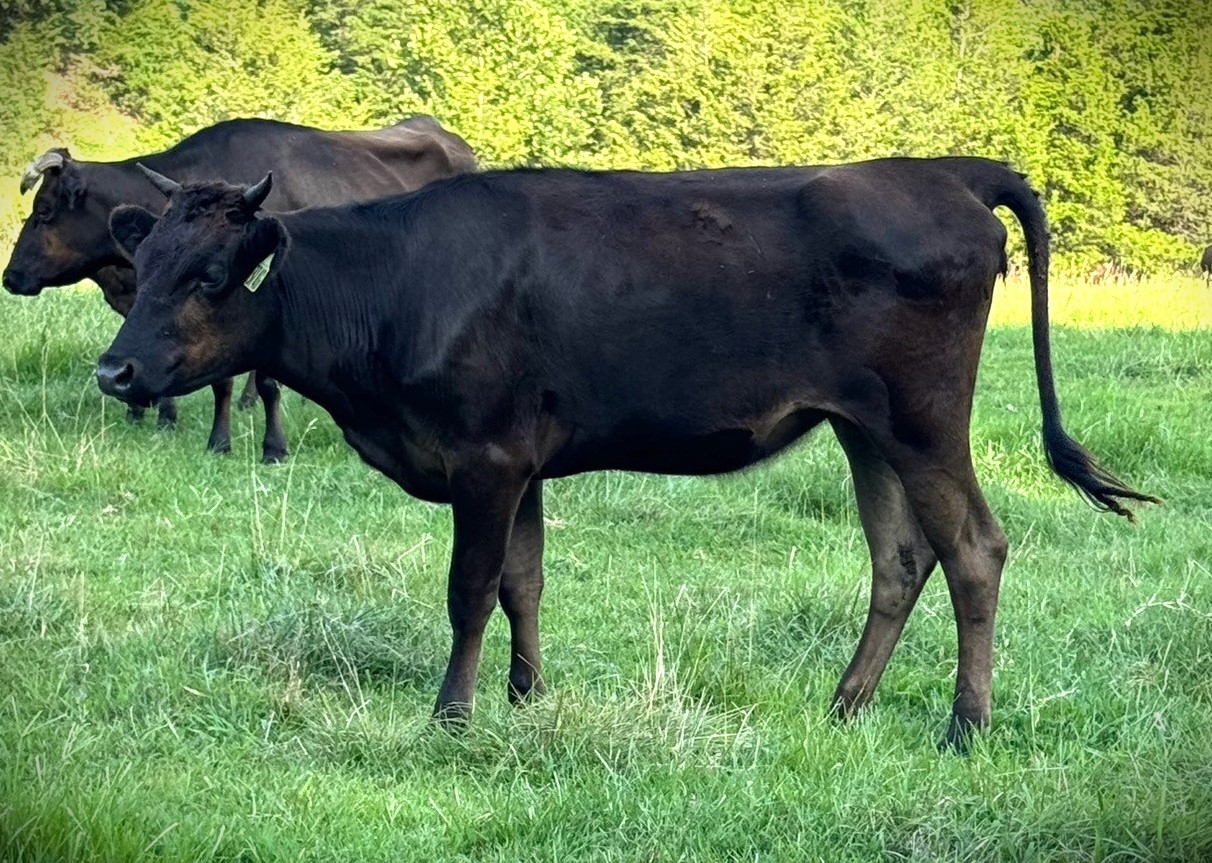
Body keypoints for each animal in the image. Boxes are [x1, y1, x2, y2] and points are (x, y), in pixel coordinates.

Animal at [5, 118, 477, 463]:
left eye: (44, 212)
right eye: (146, 257)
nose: (9, 276)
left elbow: (266, 383)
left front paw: (273, 447)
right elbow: (218, 381)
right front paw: (216, 439)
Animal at [94, 158, 1153, 746]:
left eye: (210, 275)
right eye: (142, 265)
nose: (114, 370)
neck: (394, 285)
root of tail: (943, 170)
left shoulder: (483, 457)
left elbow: (470, 588)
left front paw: (452, 714)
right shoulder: (518, 463)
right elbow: (523, 581)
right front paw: (526, 698)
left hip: (926, 422)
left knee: (973, 549)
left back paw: (965, 725)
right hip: (867, 427)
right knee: (900, 557)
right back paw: (845, 706)